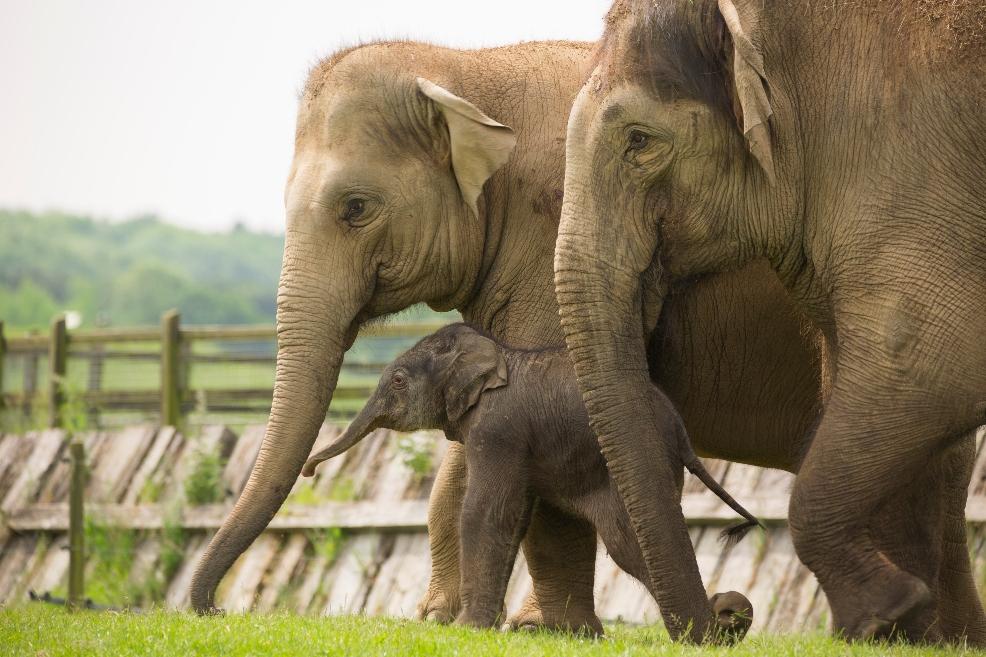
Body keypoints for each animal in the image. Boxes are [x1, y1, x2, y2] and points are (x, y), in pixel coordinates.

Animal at [302, 323, 758, 640]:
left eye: (397, 380)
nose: (309, 471)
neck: (492, 353)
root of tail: (681, 432)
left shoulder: (497, 429)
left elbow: (485, 512)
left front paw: (467, 629)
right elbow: (515, 515)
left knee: (626, 540)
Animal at [555, 0, 986, 644]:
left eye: (638, 141)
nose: (731, 612)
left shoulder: (910, 174)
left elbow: (929, 364)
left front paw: (883, 613)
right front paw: (913, 628)